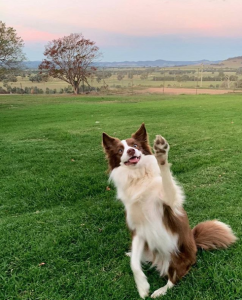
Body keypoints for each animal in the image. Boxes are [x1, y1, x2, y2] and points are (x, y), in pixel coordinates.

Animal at [102, 123, 236, 298]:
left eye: (135, 145)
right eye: (119, 150)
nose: (130, 151)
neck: (138, 178)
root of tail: (194, 243)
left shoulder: (170, 203)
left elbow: (166, 178)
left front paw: (161, 154)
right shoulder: (139, 230)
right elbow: (134, 265)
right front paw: (142, 287)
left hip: (176, 257)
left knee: (175, 277)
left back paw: (161, 291)